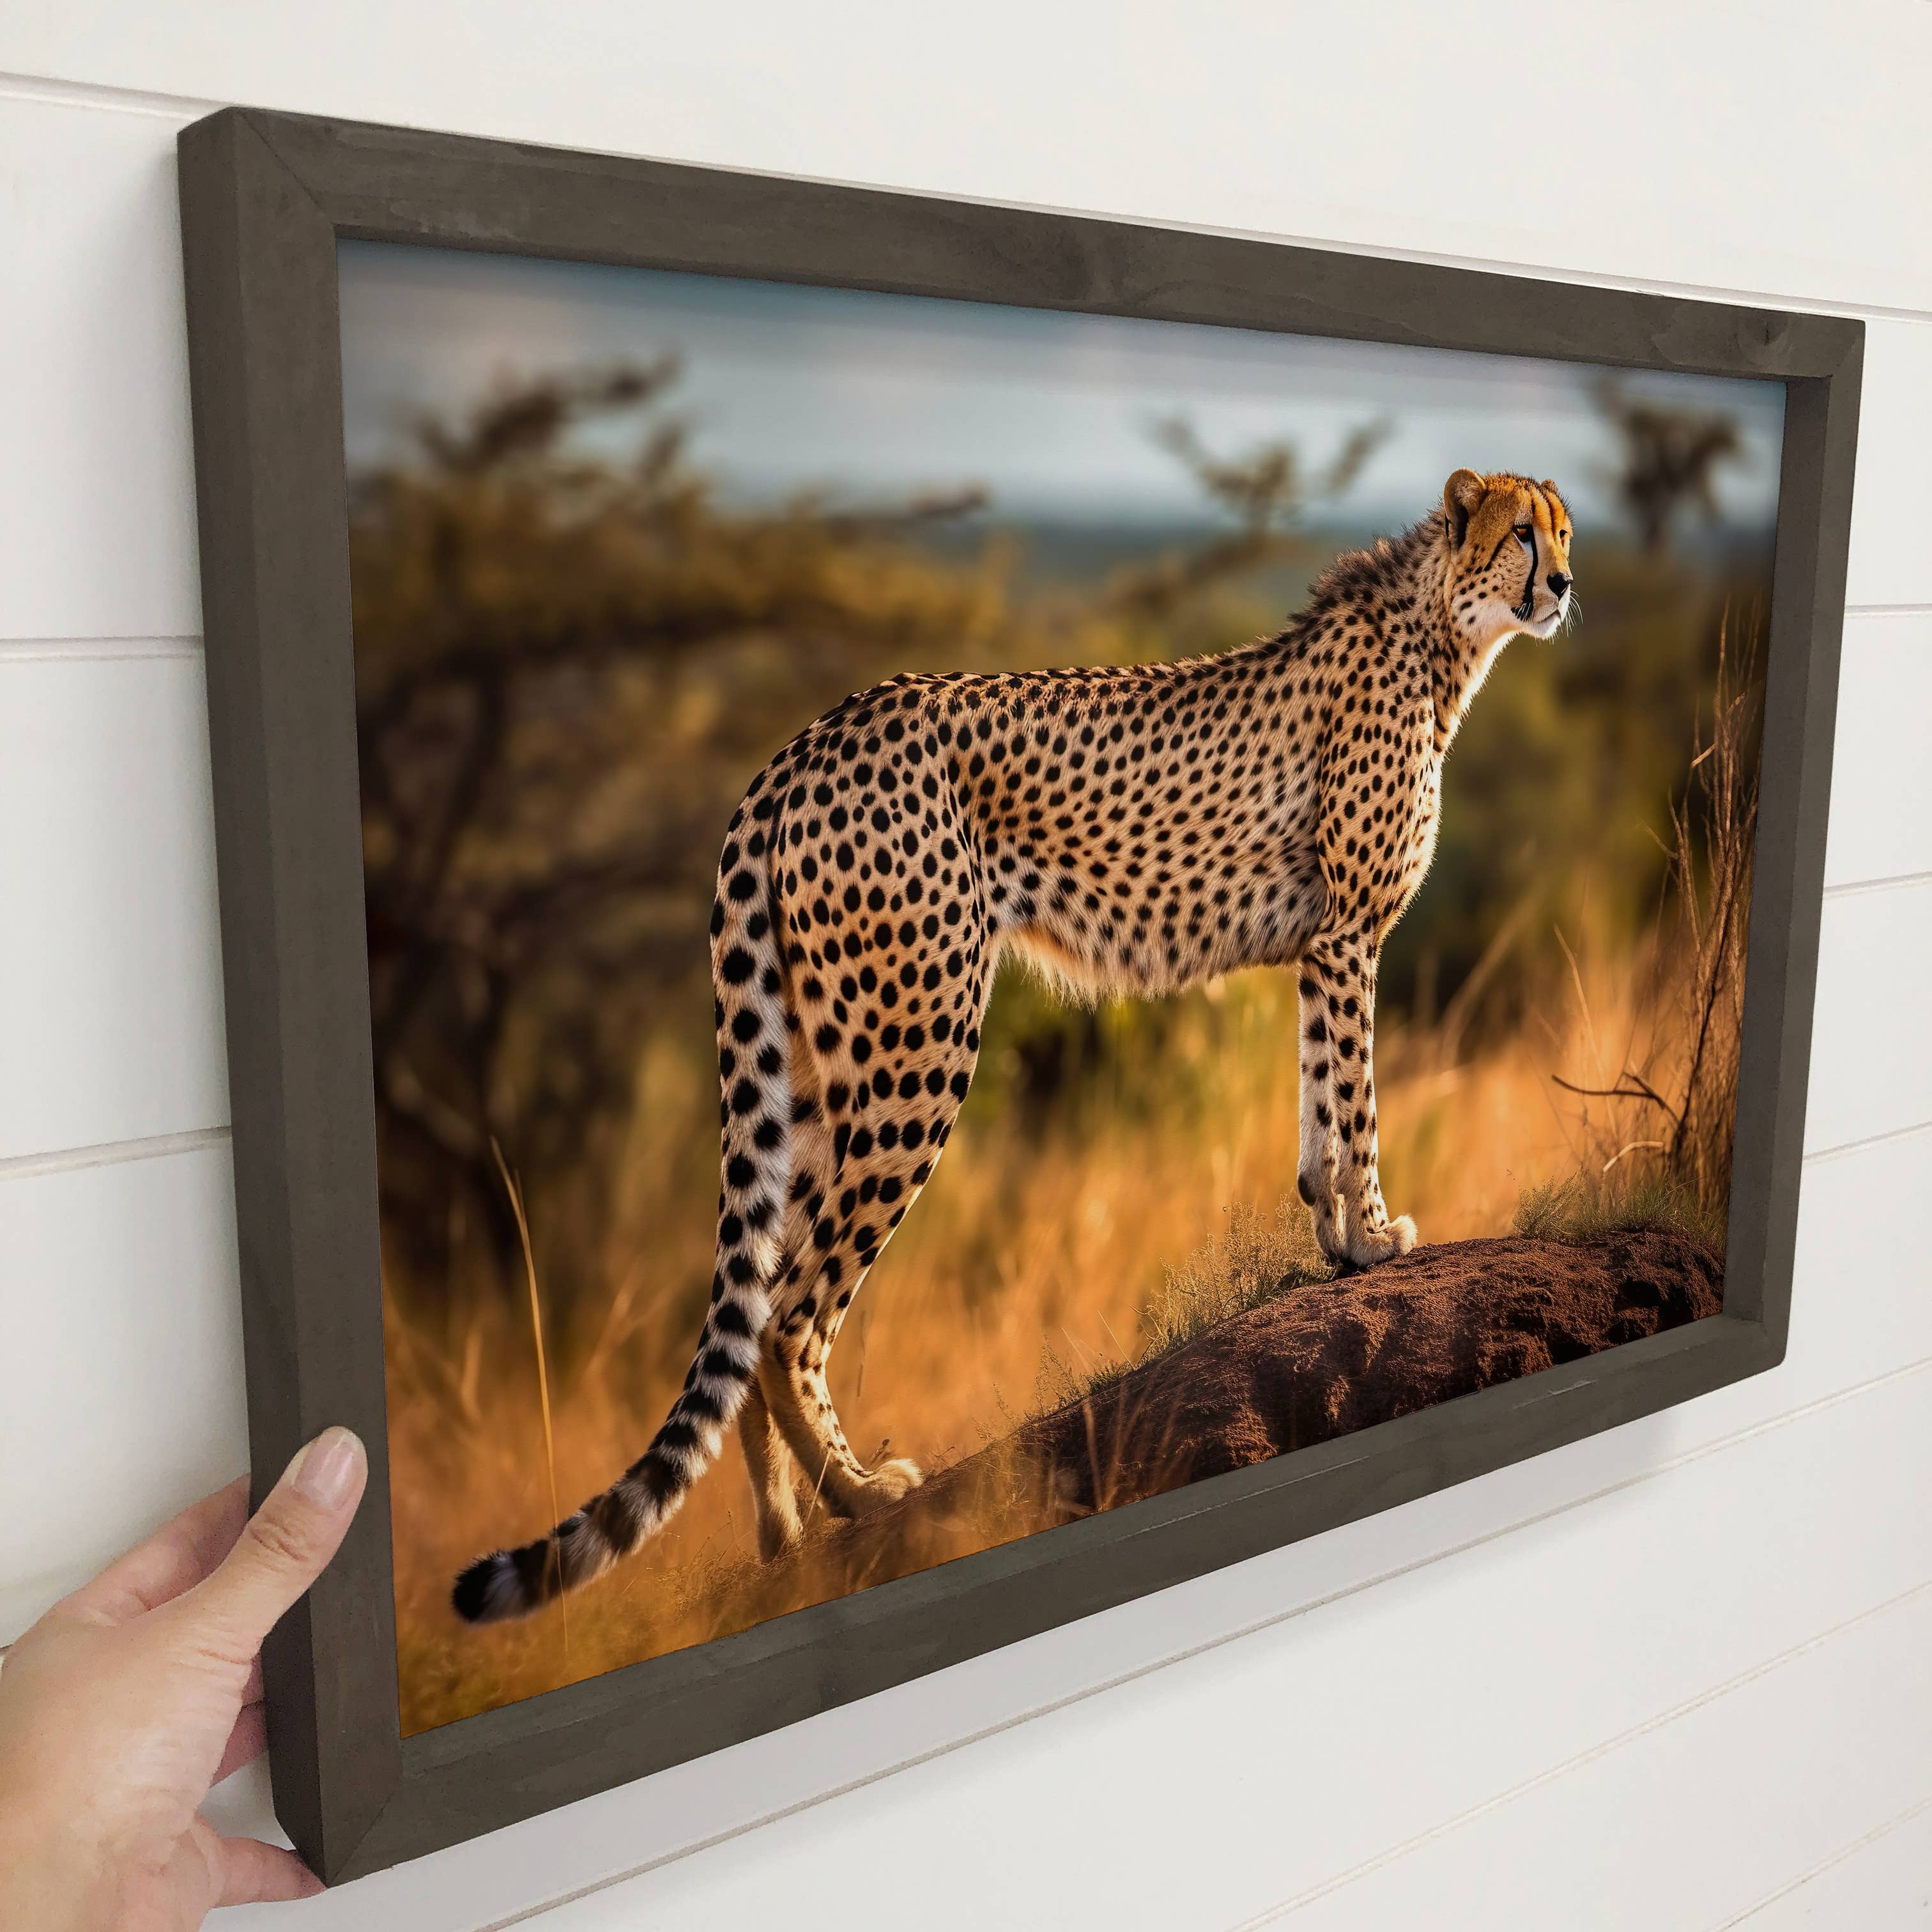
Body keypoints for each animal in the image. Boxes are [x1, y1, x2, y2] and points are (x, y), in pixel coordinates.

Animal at [453, 467, 1575, 1622]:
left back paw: (784, 1534)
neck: (1437, 632)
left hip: (812, 1072)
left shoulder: (1321, 946)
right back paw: (858, 1493)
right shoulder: (1351, 936)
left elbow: (1319, 1104)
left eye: (1565, 531)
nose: (1566, 586)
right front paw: (1377, 1233)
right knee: (789, 1309)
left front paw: (1342, 1242)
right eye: (1521, 536)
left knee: (757, 1290)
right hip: (917, 1042)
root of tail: (806, 742)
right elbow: (1356, 1104)